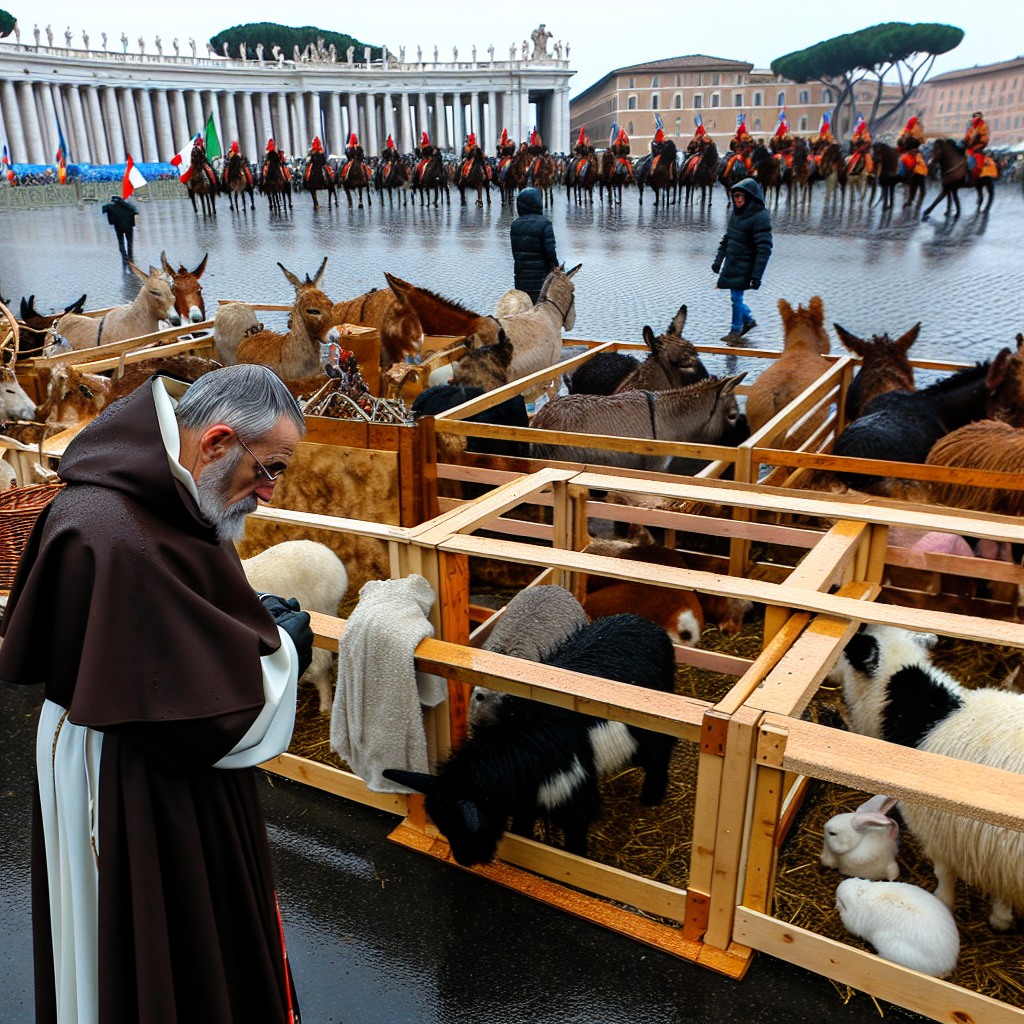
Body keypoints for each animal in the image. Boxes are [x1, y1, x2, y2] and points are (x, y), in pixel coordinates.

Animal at [380, 614, 675, 864]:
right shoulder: (526, 794)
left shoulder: (572, 793)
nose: (464, 860)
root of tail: (647, 624)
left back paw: (652, 798)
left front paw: (577, 858)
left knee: (659, 758)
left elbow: (575, 834)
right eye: (443, 827)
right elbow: (522, 824)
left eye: (470, 827)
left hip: (653, 733)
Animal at [831, 618, 1024, 933]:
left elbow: (944, 872)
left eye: (847, 650)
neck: (927, 715)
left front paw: (944, 902)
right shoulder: (997, 850)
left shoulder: (939, 828)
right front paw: (1003, 916)